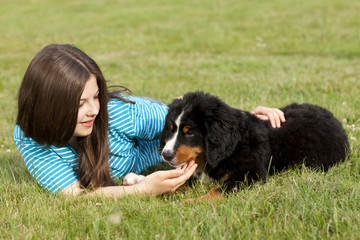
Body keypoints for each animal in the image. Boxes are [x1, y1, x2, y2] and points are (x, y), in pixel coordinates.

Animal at [159, 91, 350, 202]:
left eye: (189, 132)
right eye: (170, 129)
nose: (165, 155)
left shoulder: (250, 174)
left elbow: (216, 191)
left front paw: (189, 203)